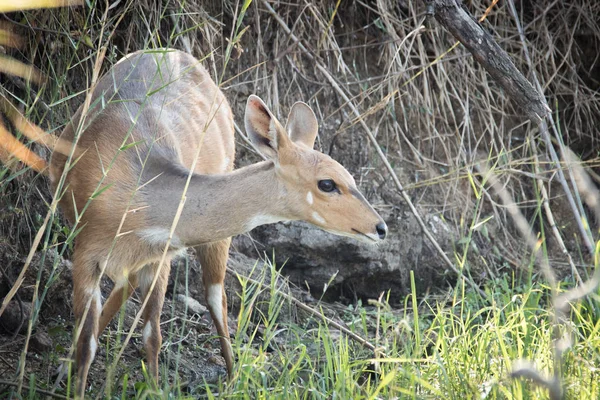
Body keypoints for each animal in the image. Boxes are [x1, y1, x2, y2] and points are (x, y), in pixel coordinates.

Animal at [0, 48, 386, 396]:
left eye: (349, 176)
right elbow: (87, 344)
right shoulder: (87, 251)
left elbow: (151, 335)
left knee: (215, 297)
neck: (136, 195)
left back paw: (233, 376)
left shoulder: (159, 255)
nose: (380, 227)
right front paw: (72, 378)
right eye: (327, 183)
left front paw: (155, 389)